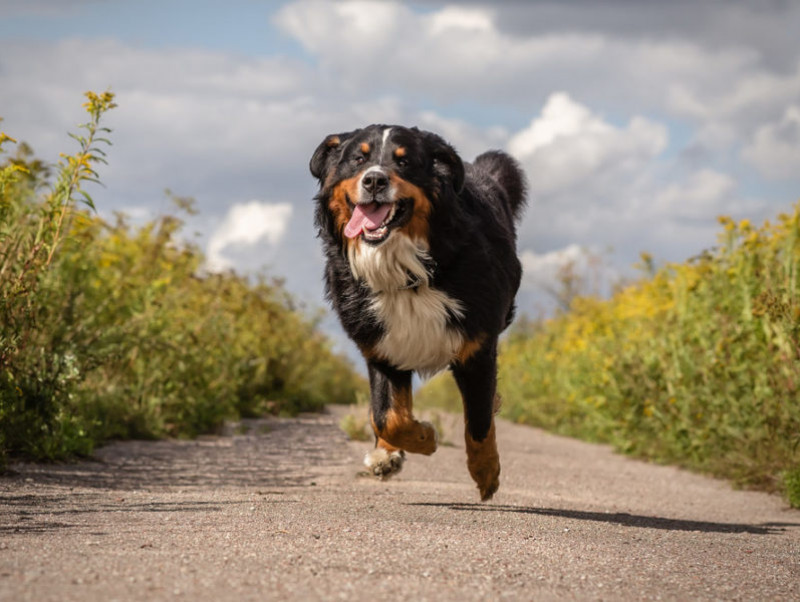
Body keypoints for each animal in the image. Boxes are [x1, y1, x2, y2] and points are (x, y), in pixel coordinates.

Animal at [310, 124, 524, 500]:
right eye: (358, 159)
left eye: (404, 161)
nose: (375, 180)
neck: (404, 269)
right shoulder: (381, 346)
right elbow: (387, 416)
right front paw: (423, 437)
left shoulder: (477, 347)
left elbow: (479, 421)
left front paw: (486, 472)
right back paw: (385, 455)